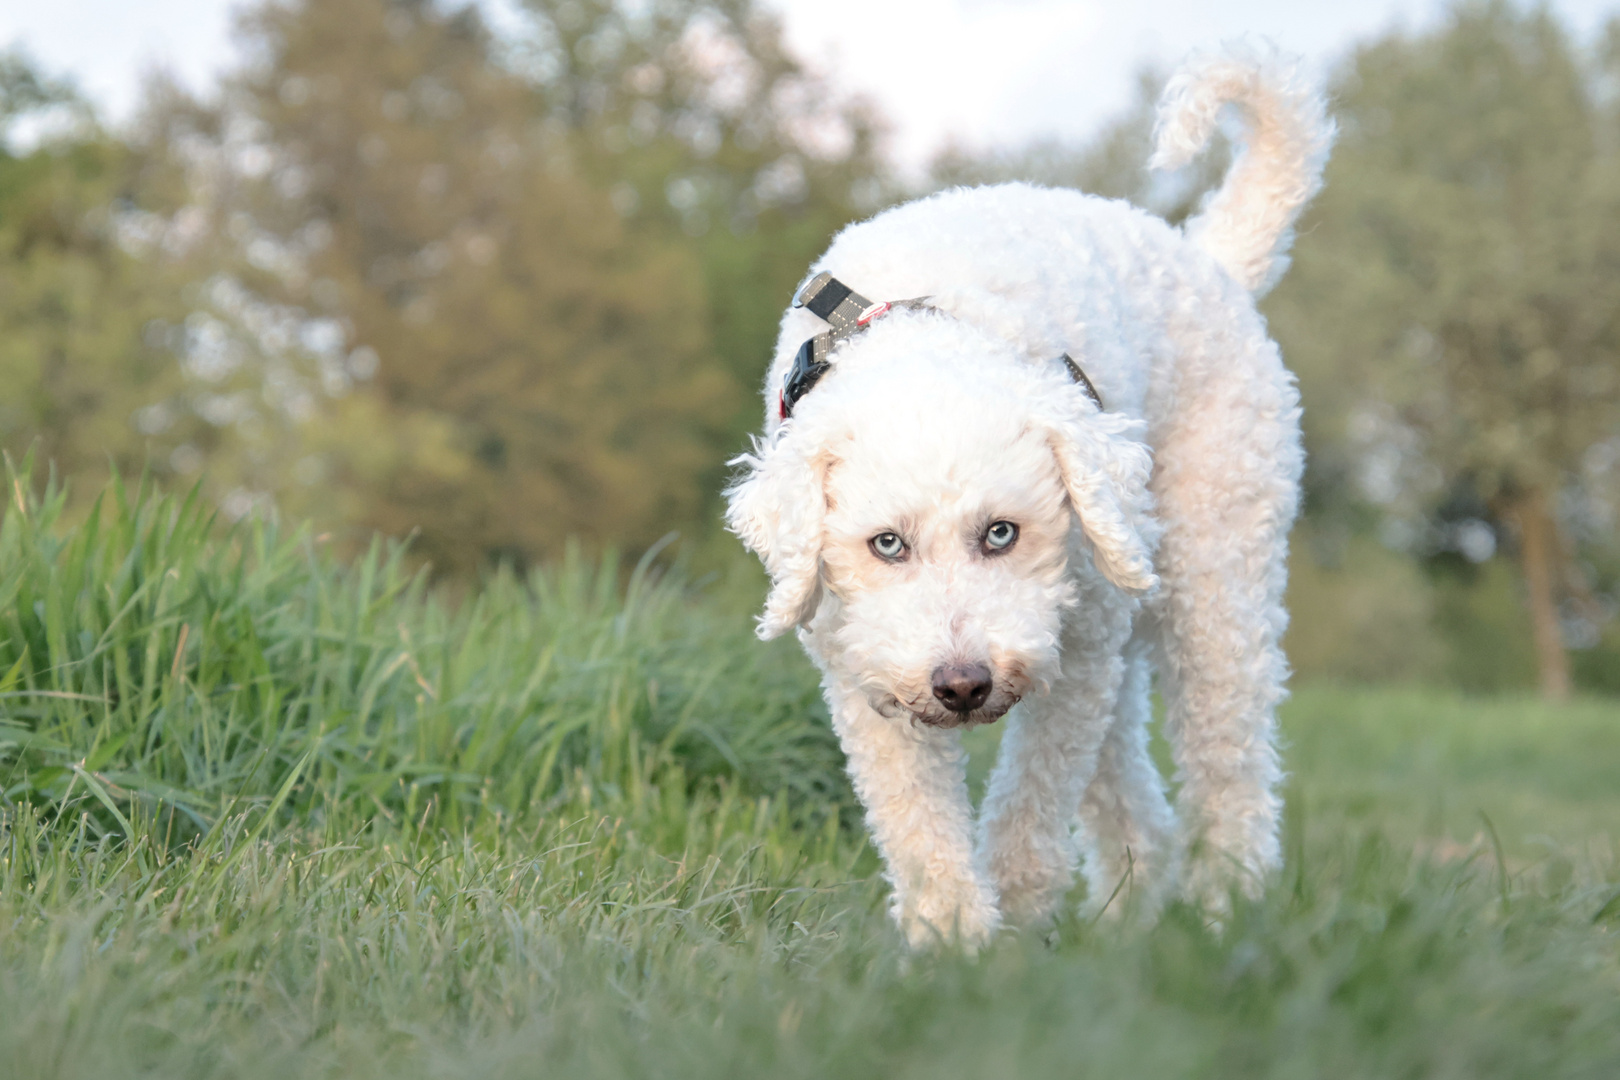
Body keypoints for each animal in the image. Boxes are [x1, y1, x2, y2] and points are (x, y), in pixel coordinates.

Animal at [729, 50, 1334, 945]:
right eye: (886, 544)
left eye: (1002, 533)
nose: (963, 685)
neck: (927, 332)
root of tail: (1209, 262)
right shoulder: (866, 670)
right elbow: (916, 824)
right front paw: (950, 939)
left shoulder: (1076, 658)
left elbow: (1030, 810)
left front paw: (1010, 938)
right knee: (1139, 809)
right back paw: (1125, 924)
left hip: (1213, 581)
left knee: (1228, 766)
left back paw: (1226, 913)